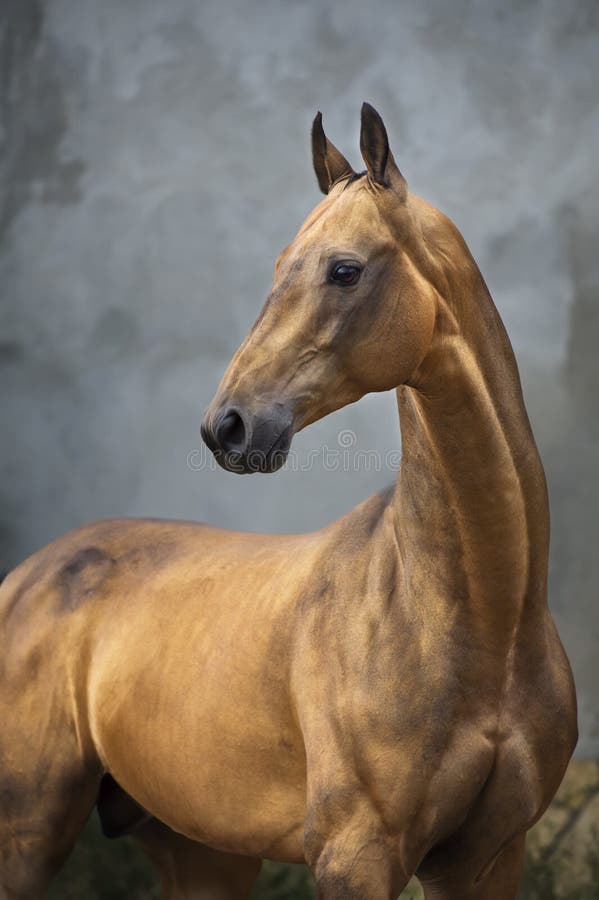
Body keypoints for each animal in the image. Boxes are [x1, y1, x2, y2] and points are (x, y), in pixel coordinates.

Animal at [1, 105, 580, 900]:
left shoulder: (487, 860)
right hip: (28, 836)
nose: (227, 427)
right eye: (278, 267)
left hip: (201, 855)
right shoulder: (355, 857)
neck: (474, 622)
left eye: (344, 269)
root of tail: (25, 576)